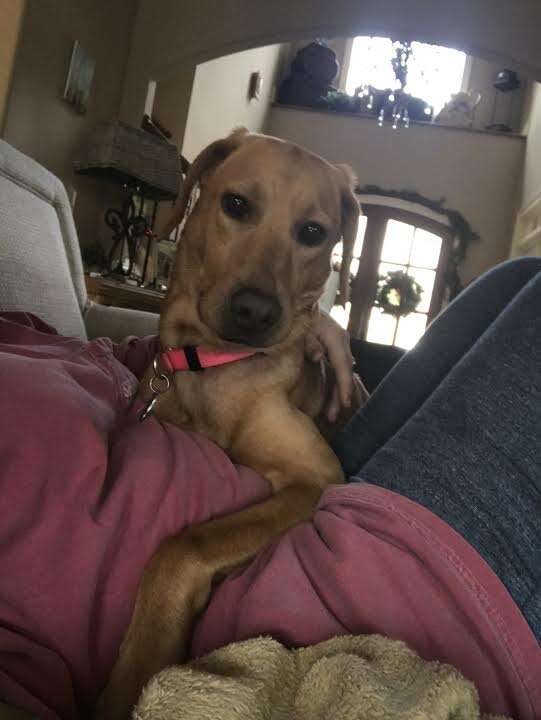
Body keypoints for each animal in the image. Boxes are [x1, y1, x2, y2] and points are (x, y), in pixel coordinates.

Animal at [97, 129, 358, 720]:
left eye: (313, 233)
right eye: (236, 205)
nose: (256, 313)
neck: (211, 364)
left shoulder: (315, 478)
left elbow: (188, 544)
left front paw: (134, 675)